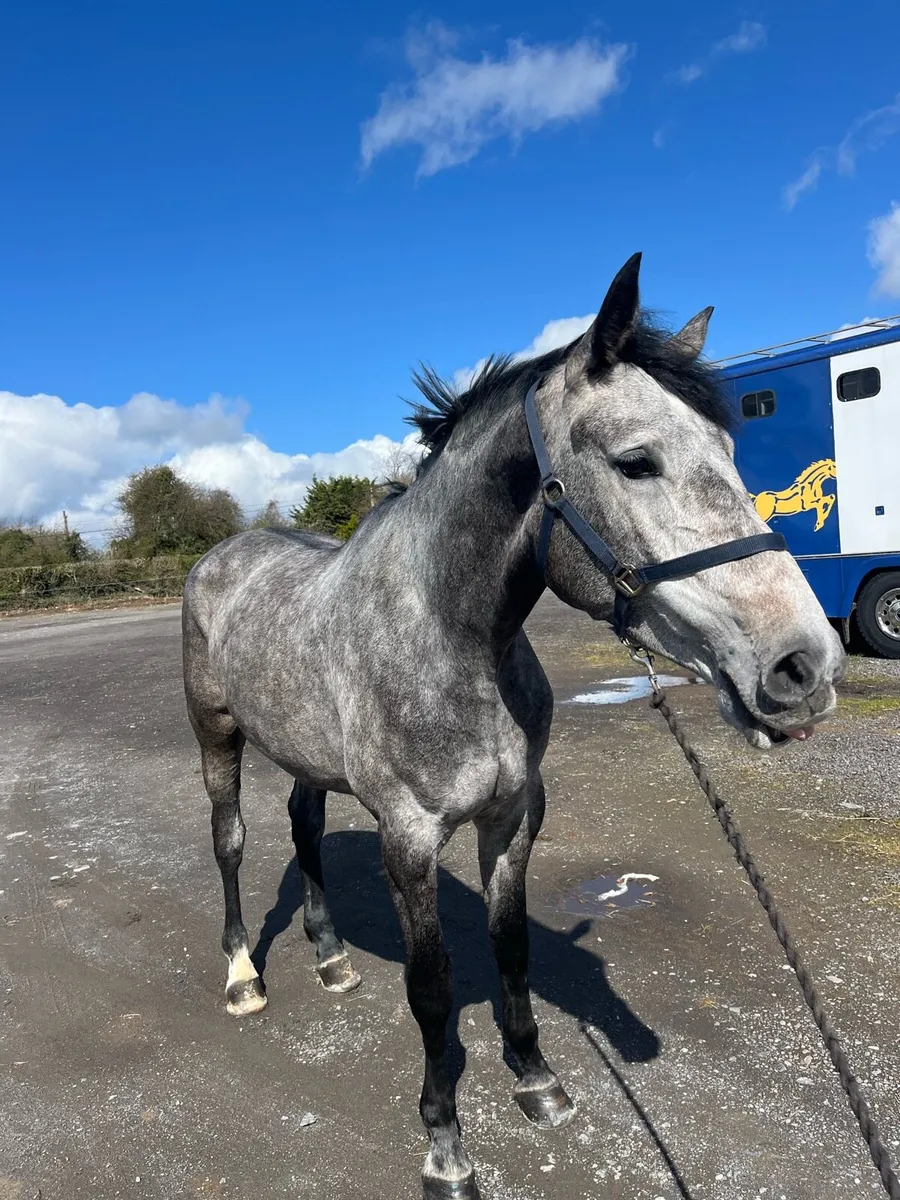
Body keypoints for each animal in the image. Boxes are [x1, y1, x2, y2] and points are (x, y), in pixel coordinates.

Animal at [182, 253, 844, 1199]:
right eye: (636, 462)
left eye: (729, 451)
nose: (804, 668)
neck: (452, 635)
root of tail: (223, 554)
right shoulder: (410, 838)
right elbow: (431, 986)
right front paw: (445, 1142)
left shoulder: (514, 817)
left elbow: (513, 948)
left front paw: (537, 1081)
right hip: (217, 736)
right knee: (232, 841)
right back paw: (244, 974)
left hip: (306, 756)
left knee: (304, 827)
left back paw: (332, 956)